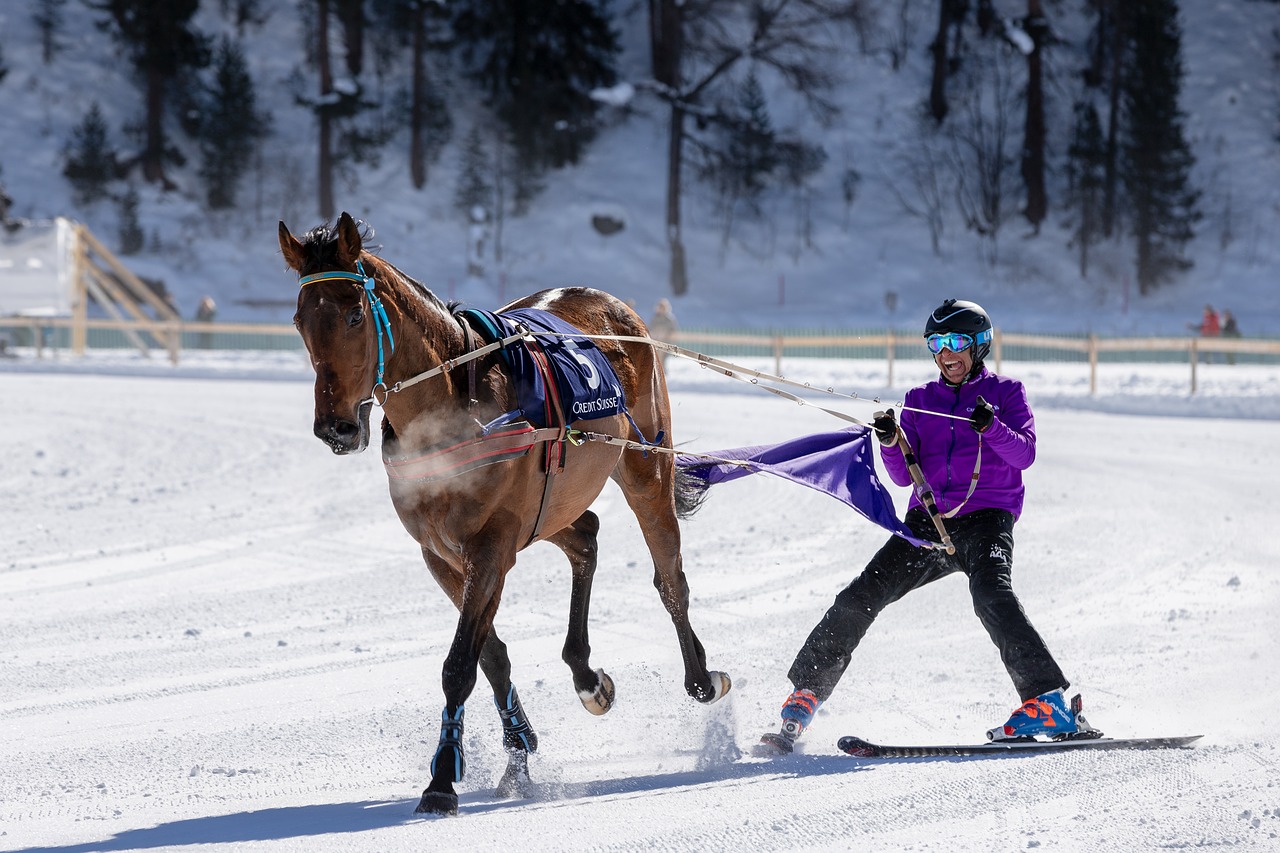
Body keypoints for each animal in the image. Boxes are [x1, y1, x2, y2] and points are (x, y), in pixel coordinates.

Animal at [280, 211, 732, 809]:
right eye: (300, 320)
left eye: (355, 314)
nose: (336, 428)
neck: (454, 403)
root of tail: (616, 307)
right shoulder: (442, 553)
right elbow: (489, 655)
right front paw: (518, 752)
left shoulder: (490, 546)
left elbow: (459, 664)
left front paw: (443, 778)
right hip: (552, 504)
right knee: (585, 538)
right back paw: (586, 675)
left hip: (643, 466)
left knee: (669, 577)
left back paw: (700, 677)